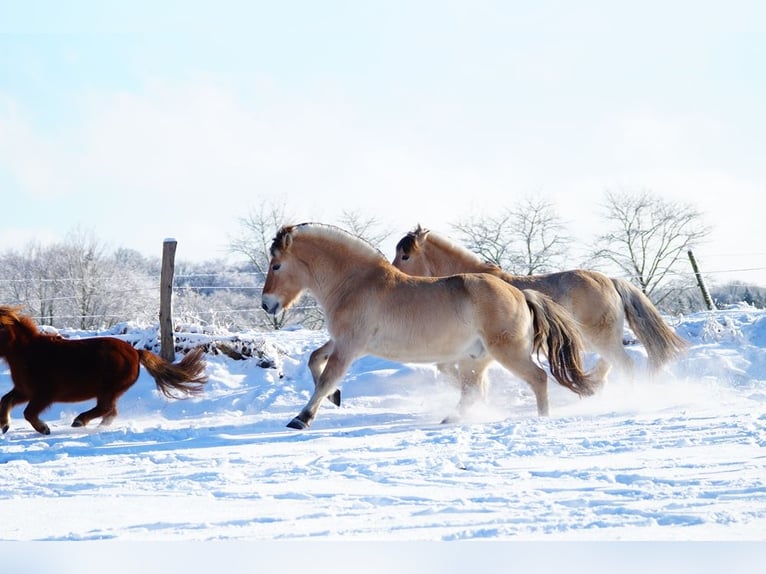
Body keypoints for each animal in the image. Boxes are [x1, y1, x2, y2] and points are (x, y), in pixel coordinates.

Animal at [0, 305, 209, 435]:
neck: (28, 352)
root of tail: (135, 352)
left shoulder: (44, 394)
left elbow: (28, 413)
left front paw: (43, 428)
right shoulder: (24, 390)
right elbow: (6, 400)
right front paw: (4, 425)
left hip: (108, 389)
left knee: (106, 408)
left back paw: (79, 421)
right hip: (109, 391)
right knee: (110, 411)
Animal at [261, 222, 602, 430]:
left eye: (276, 265)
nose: (266, 304)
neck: (357, 283)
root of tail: (520, 293)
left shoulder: (350, 345)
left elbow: (325, 378)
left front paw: (302, 418)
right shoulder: (343, 341)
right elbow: (314, 360)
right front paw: (336, 397)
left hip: (508, 353)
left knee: (538, 379)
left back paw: (542, 419)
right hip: (476, 359)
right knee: (473, 391)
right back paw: (452, 419)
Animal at [392, 225, 688, 384]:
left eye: (405, 255)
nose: (395, 276)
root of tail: (610, 281)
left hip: (602, 339)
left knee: (624, 366)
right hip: (597, 341)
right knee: (609, 367)